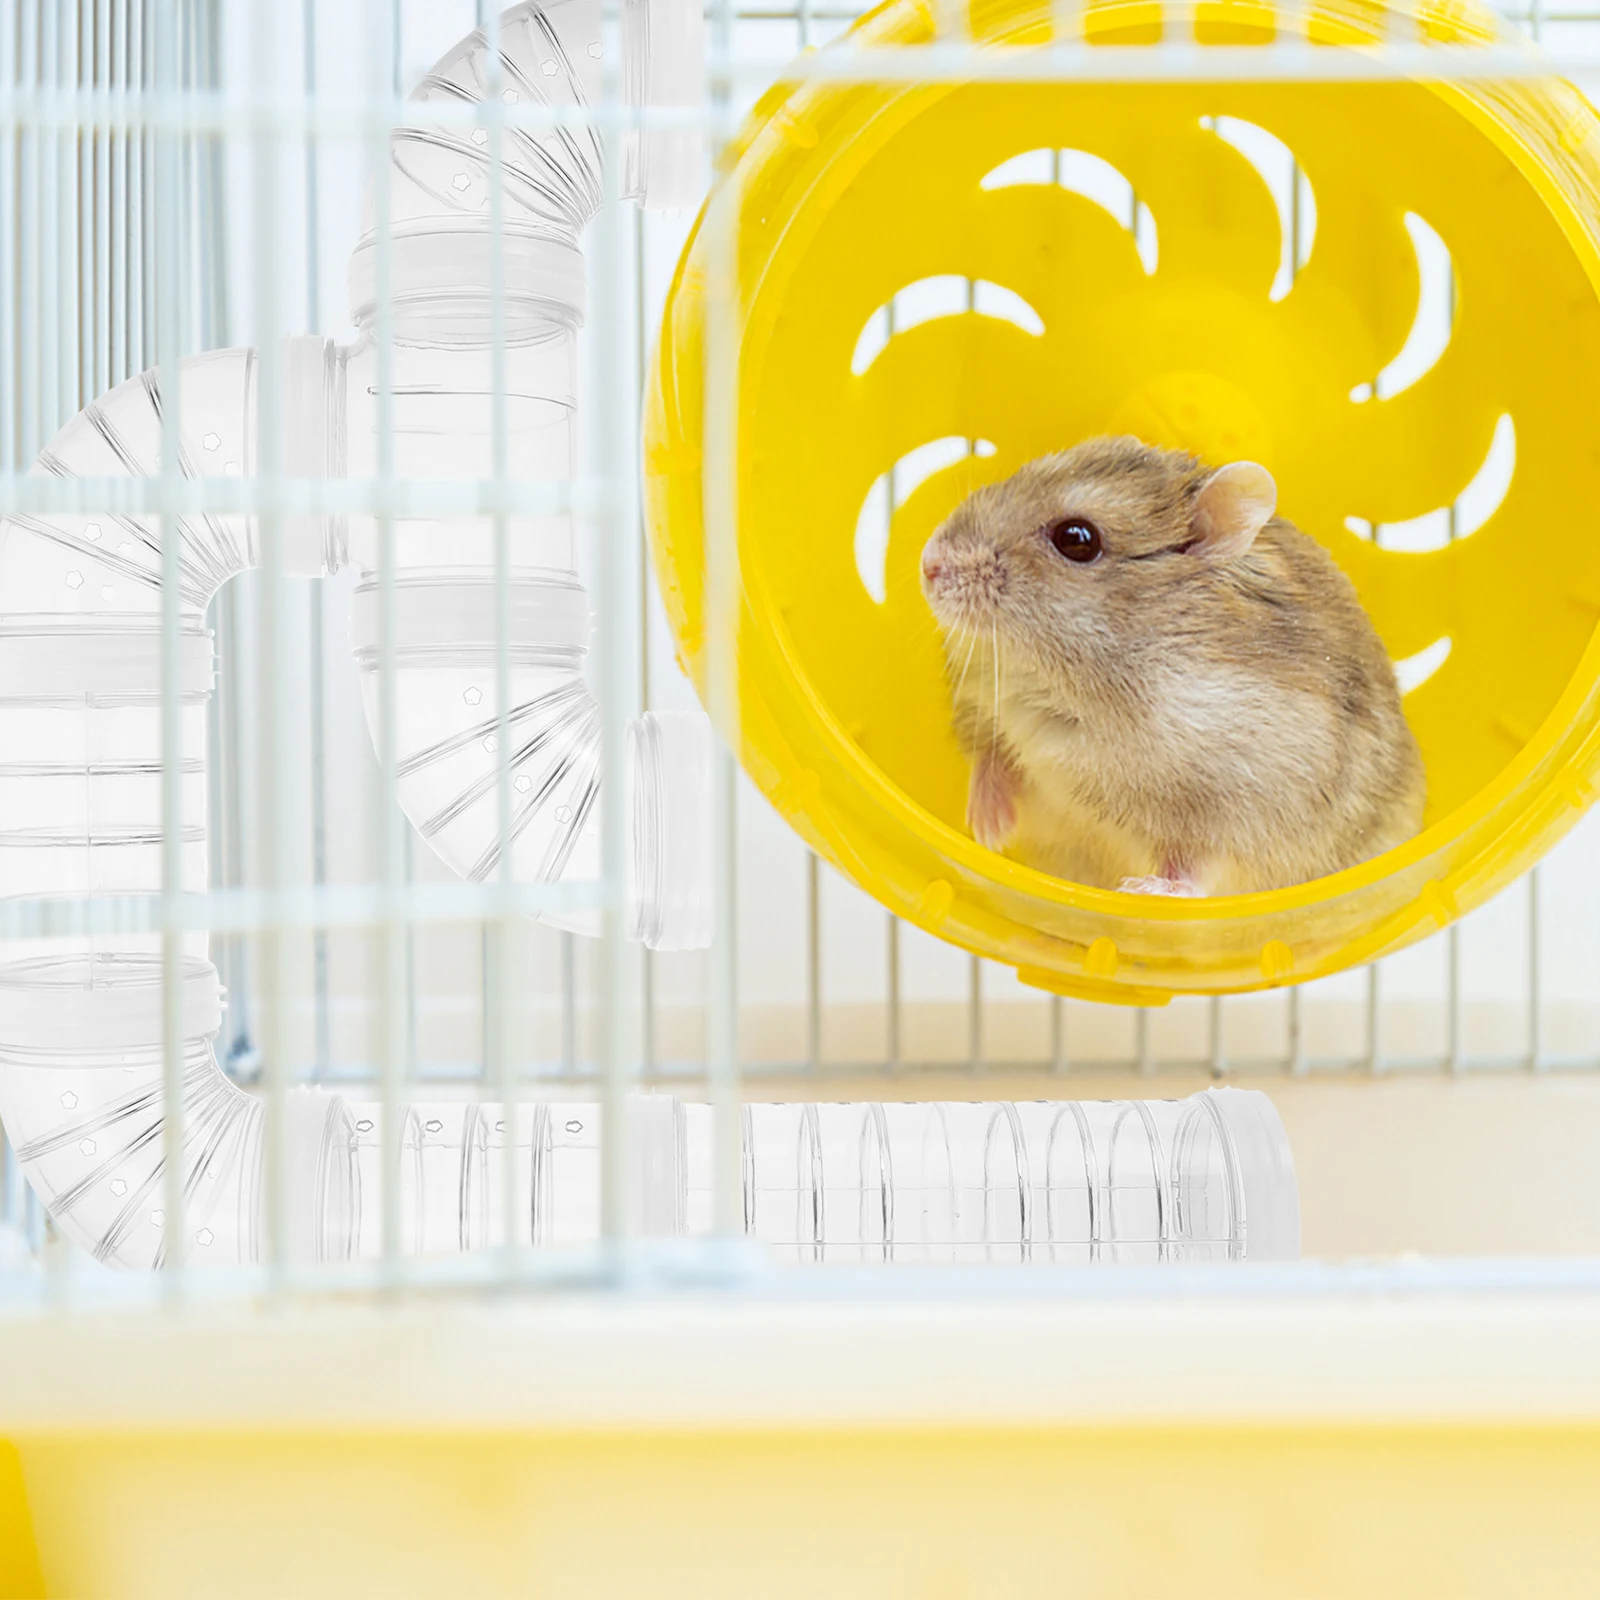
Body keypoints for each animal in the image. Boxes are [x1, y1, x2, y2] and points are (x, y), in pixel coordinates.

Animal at [919, 436, 1425, 896]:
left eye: (1077, 539)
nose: (928, 563)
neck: (1056, 677)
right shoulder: (983, 706)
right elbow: (990, 755)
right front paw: (987, 828)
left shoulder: (1242, 809)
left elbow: (1194, 870)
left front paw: (1139, 891)